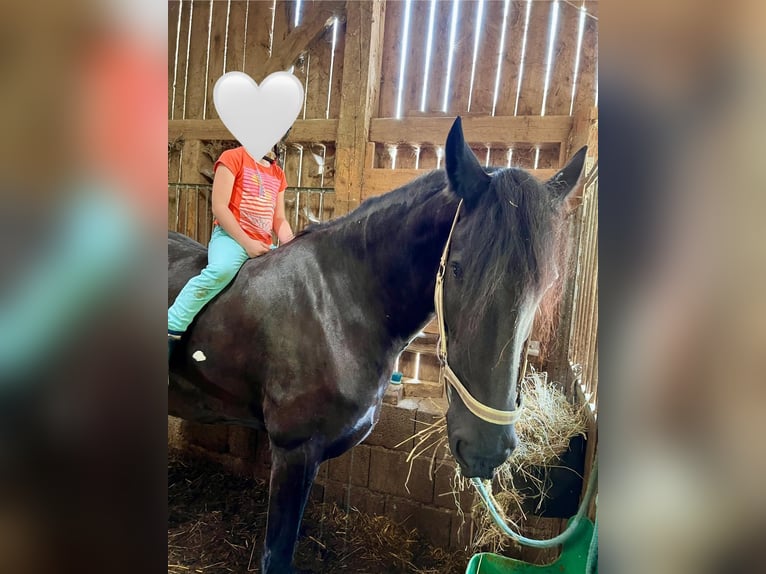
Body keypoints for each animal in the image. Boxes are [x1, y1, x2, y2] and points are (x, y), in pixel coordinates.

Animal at [168, 117, 586, 573]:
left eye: (543, 285)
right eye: (456, 269)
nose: (487, 449)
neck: (337, 303)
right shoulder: (293, 451)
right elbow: (276, 555)